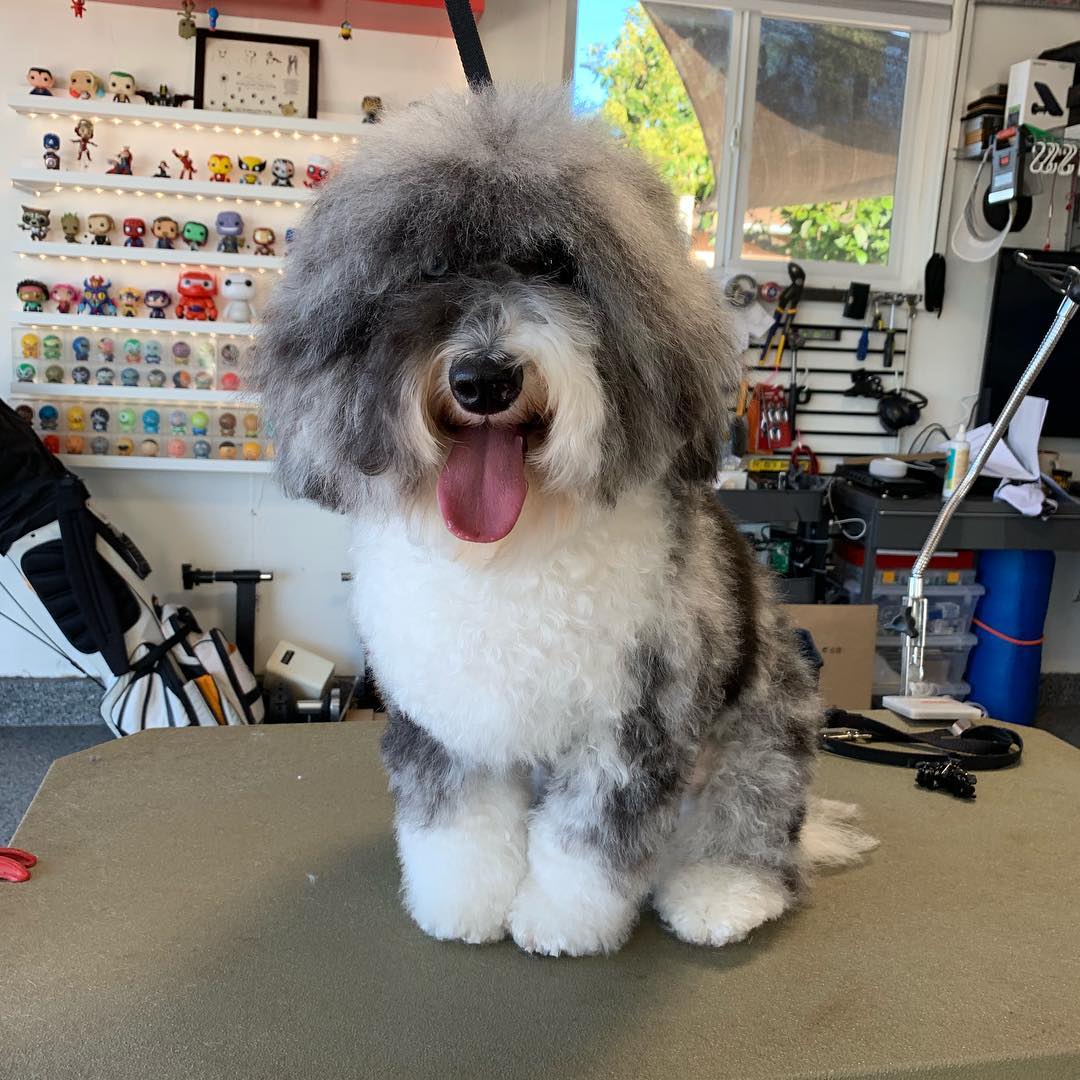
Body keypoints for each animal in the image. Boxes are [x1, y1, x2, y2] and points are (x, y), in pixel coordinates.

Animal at [250, 86, 873, 956]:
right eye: (429, 267)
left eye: (555, 264)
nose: (484, 379)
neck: (511, 551)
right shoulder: (451, 719)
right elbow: (459, 824)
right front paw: (463, 905)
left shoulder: (631, 725)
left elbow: (588, 843)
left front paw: (560, 923)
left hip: (765, 736)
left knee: (752, 832)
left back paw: (722, 893)